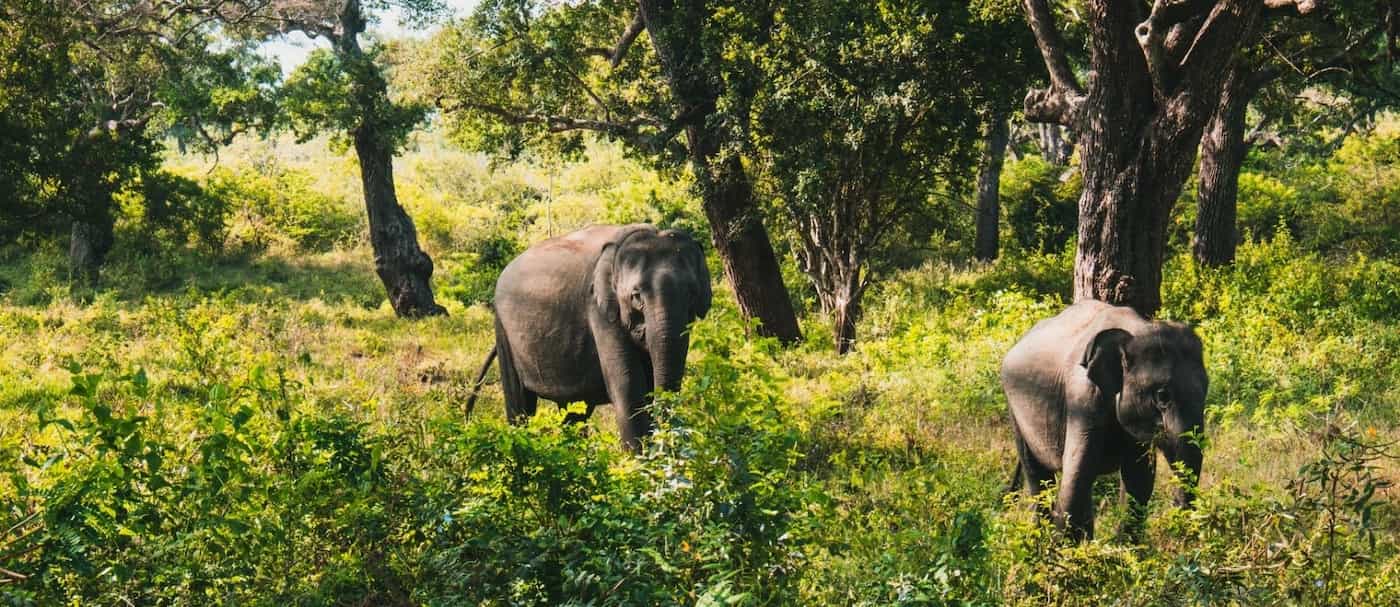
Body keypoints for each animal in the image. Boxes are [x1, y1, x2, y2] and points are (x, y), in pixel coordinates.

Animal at [465, 224, 712, 451]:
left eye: (692, 293)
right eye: (636, 296)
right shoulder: (600, 311)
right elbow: (629, 386)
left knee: (574, 412)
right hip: (503, 329)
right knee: (520, 403)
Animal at [1000, 300, 1208, 541]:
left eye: (1206, 391)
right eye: (1162, 396)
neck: (1136, 329)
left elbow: (1139, 478)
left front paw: (1124, 547)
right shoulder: (1082, 400)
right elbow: (1077, 471)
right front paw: (1068, 549)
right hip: (1014, 409)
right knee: (1037, 474)